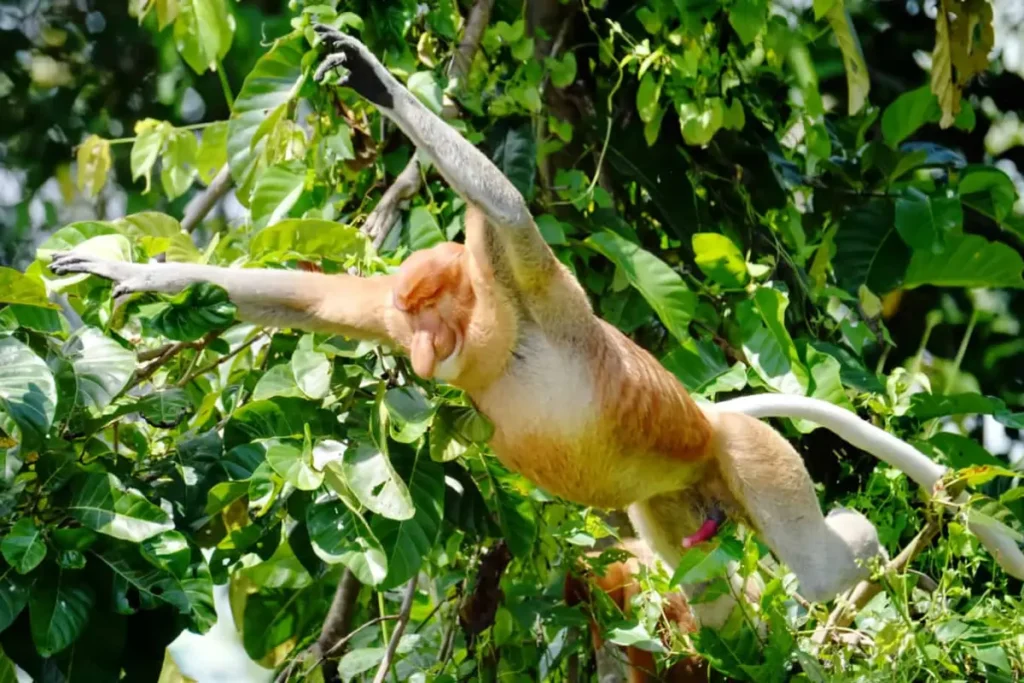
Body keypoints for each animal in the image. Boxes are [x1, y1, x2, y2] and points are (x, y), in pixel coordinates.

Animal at [48, 26, 1024, 622]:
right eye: (409, 320)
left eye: (437, 316)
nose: (422, 354)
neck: (500, 341)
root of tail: (711, 416)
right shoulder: (390, 301)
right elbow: (305, 297)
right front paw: (125, 269)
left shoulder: (536, 288)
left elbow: (508, 208)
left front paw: (375, 81)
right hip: (677, 501)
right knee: (706, 584)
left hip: (754, 458)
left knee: (821, 561)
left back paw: (875, 563)